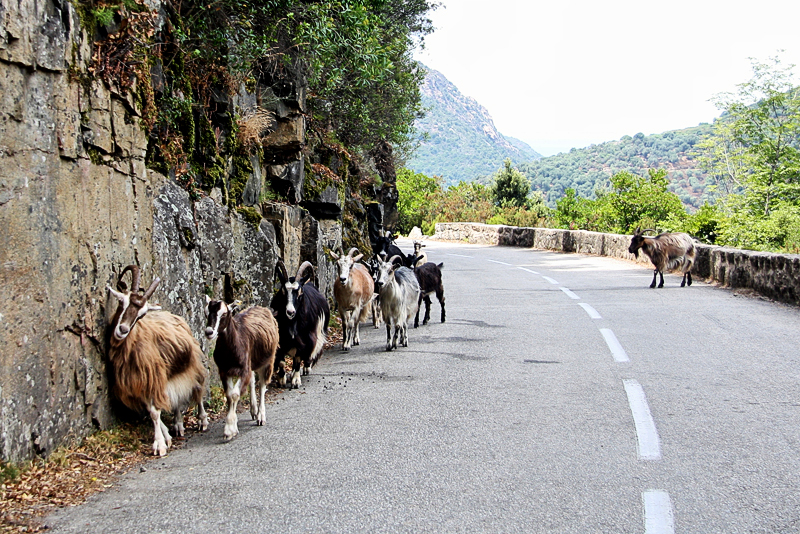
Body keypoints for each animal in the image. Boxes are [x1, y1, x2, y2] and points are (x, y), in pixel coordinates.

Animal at [106, 266, 209, 458]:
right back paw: (177, 425)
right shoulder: (139, 383)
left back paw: (202, 420)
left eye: (142, 314)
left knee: (197, 389)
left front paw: (159, 445)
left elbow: (155, 412)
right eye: (122, 301)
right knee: (176, 398)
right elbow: (151, 410)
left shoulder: (154, 379)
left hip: (191, 365)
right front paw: (166, 436)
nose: (122, 330)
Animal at [205, 300, 280, 442]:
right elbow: (229, 394)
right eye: (206, 312)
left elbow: (235, 394)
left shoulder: (243, 369)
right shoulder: (224, 371)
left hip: (268, 359)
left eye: (224, 314)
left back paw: (261, 416)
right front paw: (232, 427)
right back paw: (253, 410)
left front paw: (229, 430)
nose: (209, 332)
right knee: (252, 379)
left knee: (262, 384)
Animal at [270, 260, 330, 390]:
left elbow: (298, 358)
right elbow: (281, 361)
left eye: (299, 292)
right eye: (283, 291)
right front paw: (281, 379)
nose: (290, 312)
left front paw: (296, 381)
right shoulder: (281, 339)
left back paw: (306, 368)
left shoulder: (304, 339)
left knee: (310, 353)